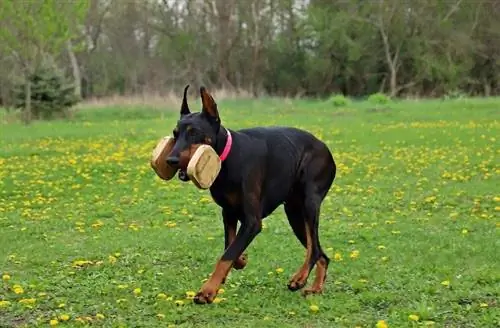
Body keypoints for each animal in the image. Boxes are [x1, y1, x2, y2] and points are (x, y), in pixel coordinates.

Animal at [165, 85, 336, 304]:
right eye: (175, 134)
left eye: (194, 133)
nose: (171, 160)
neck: (227, 159)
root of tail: (326, 149)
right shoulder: (228, 212)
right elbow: (230, 247)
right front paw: (241, 259)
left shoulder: (252, 221)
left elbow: (226, 255)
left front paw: (207, 291)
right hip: (294, 213)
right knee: (322, 254)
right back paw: (315, 289)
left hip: (309, 204)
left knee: (313, 249)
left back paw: (299, 278)